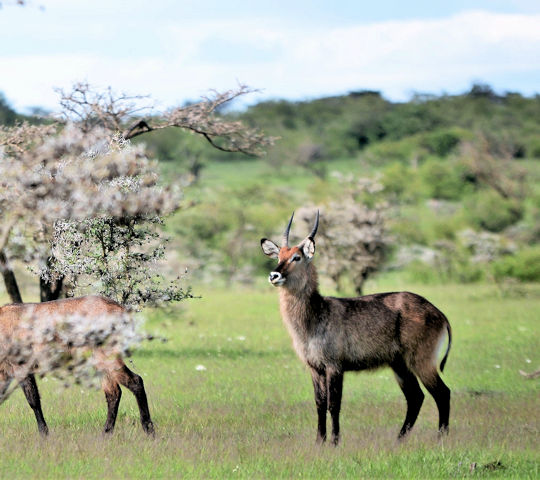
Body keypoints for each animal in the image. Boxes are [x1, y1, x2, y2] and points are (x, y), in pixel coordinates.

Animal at [0, 294, 156, 436]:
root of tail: (123, 310)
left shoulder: (21, 366)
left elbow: (33, 400)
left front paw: (44, 434)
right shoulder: (4, 372)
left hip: (106, 357)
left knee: (135, 381)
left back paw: (149, 430)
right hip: (99, 361)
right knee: (113, 392)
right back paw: (105, 434)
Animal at [262, 212, 452, 444]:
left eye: (296, 257)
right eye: (278, 256)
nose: (274, 275)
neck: (314, 316)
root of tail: (438, 312)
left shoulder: (334, 366)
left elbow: (334, 404)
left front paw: (334, 442)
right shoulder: (315, 368)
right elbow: (319, 404)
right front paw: (319, 442)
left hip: (421, 360)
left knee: (442, 393)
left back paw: (440, 439)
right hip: (399, 364)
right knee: (416, 396)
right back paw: (398, 440)